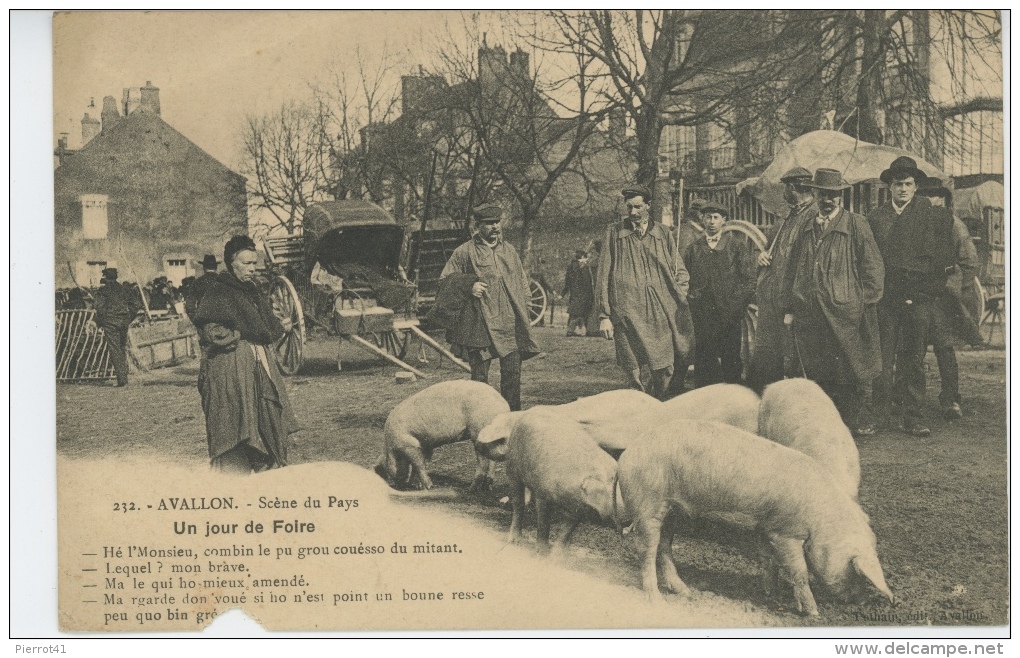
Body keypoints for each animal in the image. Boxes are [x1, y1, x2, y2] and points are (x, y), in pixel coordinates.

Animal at [375, 377, 510, 489]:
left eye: (388, 472)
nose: (400, 486)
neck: (390, 447)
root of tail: (504, 406)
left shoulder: (409, 443)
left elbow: (418, 464)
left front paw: (428, 487)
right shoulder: (425, 445)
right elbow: (421, 464)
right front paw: (419, 486)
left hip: (479, 431)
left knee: (483, 462)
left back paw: (471, 489)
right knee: (492, 459)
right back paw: (488, 486)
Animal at [505, 408, 624, 550]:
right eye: (611, 492)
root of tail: (529, 411)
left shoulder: (578, 506)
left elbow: (568, 528)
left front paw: (559, 552)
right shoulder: (542, 492)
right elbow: (544, 520)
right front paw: (542, 550)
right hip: (512, 467)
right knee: (518, 503)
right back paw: (514, 540)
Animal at [612, 418, 893, 612]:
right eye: (856, 570)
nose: (862, 601)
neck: (821, 520)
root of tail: (625, 457)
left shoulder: (764, 526)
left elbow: (769, 560)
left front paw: (771, 594)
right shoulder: (786, 532)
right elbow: (799, 570)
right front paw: (813, 613)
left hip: (672, 510)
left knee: (664, 546)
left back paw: (685, 592)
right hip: (646, 504)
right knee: (646, 550)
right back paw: (656, 600)